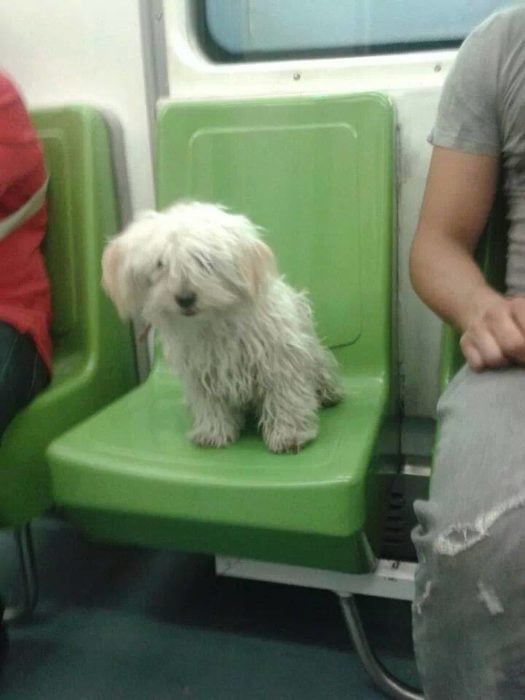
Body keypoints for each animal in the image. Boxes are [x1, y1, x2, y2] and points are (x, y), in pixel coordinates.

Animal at [101, 202, 344, 454]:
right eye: (160, 263)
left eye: (205, 261)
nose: (185, 298)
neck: (215, 323)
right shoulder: (202, 374)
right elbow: (210, 405)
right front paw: (213, 433)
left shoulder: (280, 364)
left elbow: (285, 399)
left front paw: (289, 434)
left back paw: (328, 393)